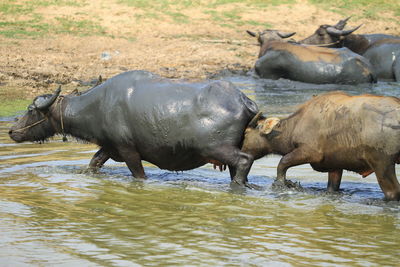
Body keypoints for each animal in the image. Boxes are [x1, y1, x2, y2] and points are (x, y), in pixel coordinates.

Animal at [10, 71, 260, 188]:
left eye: (31, 109)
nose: (12, 130)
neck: (98, 105)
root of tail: (244, 100)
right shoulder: (109, 147)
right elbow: (93, 163)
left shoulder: (128, 150)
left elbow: (139, 175)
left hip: (218, 148)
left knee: (244, 160)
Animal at [241, 91, 400, 201]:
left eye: (246, 133)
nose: (239, 150)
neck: (292, 129)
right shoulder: (335, 165)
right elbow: (332, 188)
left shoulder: (312, 152)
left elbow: (283, 162)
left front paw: (281, 184)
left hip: (382, 162)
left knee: (393, 193)